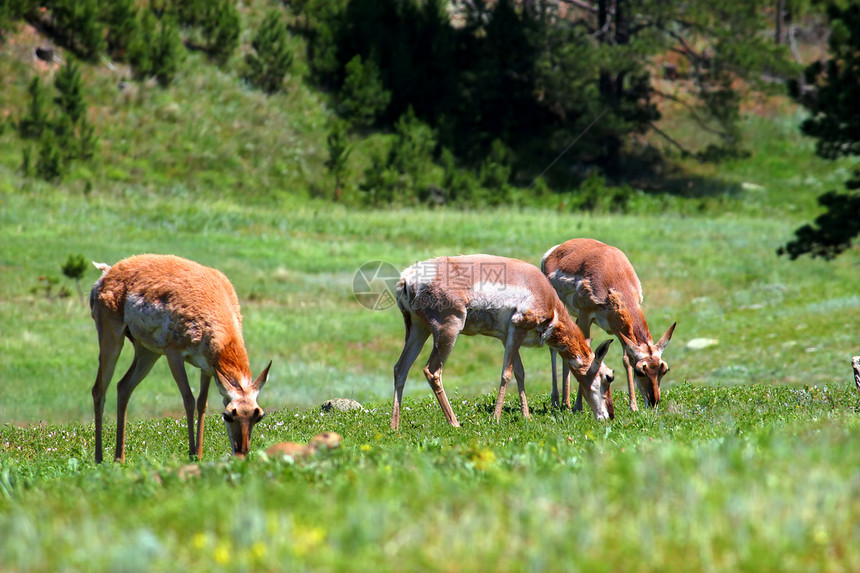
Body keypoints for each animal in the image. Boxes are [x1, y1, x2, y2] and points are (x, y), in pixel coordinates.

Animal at [88, 254, 268, 460]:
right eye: (228, 415)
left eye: (258, 415)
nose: (241, 453)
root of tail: (108, 271)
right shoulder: (174, 355)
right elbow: (189, 399)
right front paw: (192, 453)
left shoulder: (207, 368)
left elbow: (202, 403)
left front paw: (199, 454)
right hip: (112, 338)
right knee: (99, 389)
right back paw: (99, 458)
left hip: (148, 352)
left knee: (123, 386)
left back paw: (120, 457)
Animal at [394, 252, 616, 426]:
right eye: (608, 377)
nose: (610, 416)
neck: (546, 296)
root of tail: (408, 277)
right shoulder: (517, 329)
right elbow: (506, 374)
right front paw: (496, 418)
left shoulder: (507, 338)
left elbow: (520, 372)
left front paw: (526, 416)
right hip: (448, 331)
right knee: (432, 371)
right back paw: (455, 423)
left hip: (418, 330)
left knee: (400, 368)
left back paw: (394, 428)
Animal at [540, 239, 676, 414]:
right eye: (640, 371)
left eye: (664, 369)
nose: (653, 402)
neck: (615, 277)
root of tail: (556, 249)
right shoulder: (585, 316)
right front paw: (579, 406)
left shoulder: (619, 331)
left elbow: (626, 360)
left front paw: (633, 406)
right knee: (554, 348)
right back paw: (558, 402)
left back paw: (565, 402)